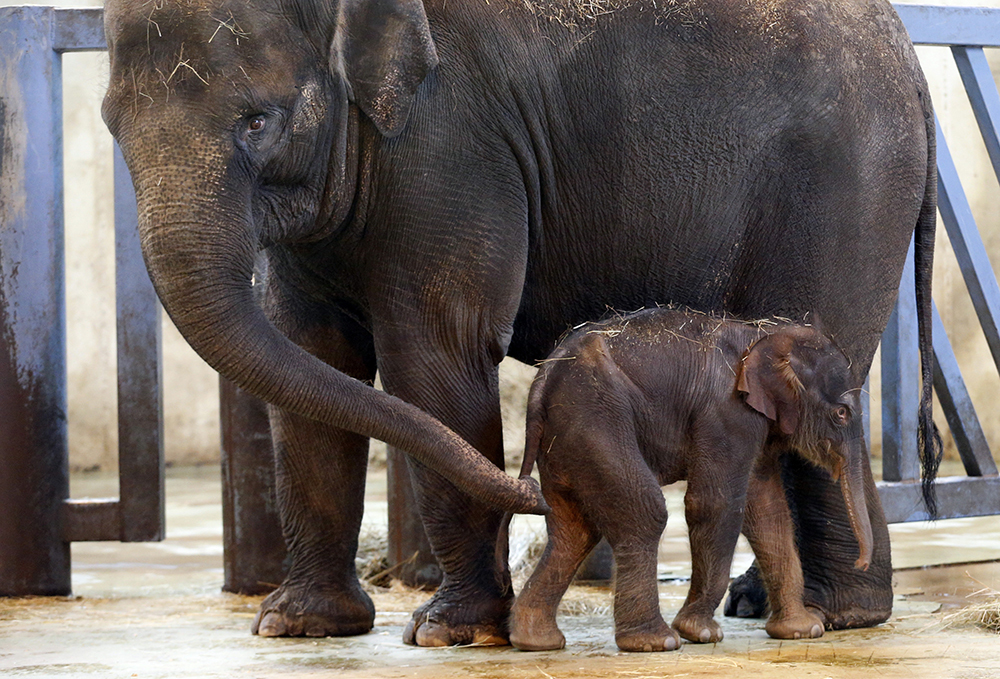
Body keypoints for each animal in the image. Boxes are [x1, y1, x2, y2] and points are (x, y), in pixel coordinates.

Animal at [512, 310, 872, 652]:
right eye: (841, 414)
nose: (860, 563)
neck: (763, 334)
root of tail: (541, 383)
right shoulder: (727, 414)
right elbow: (716, 504)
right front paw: (700, 633)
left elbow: (769, 511)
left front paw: (803, 631)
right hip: (596, 419)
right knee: (645, 513)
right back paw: (656, 642)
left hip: (566, 442)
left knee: (573, 531)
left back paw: (535, 641)